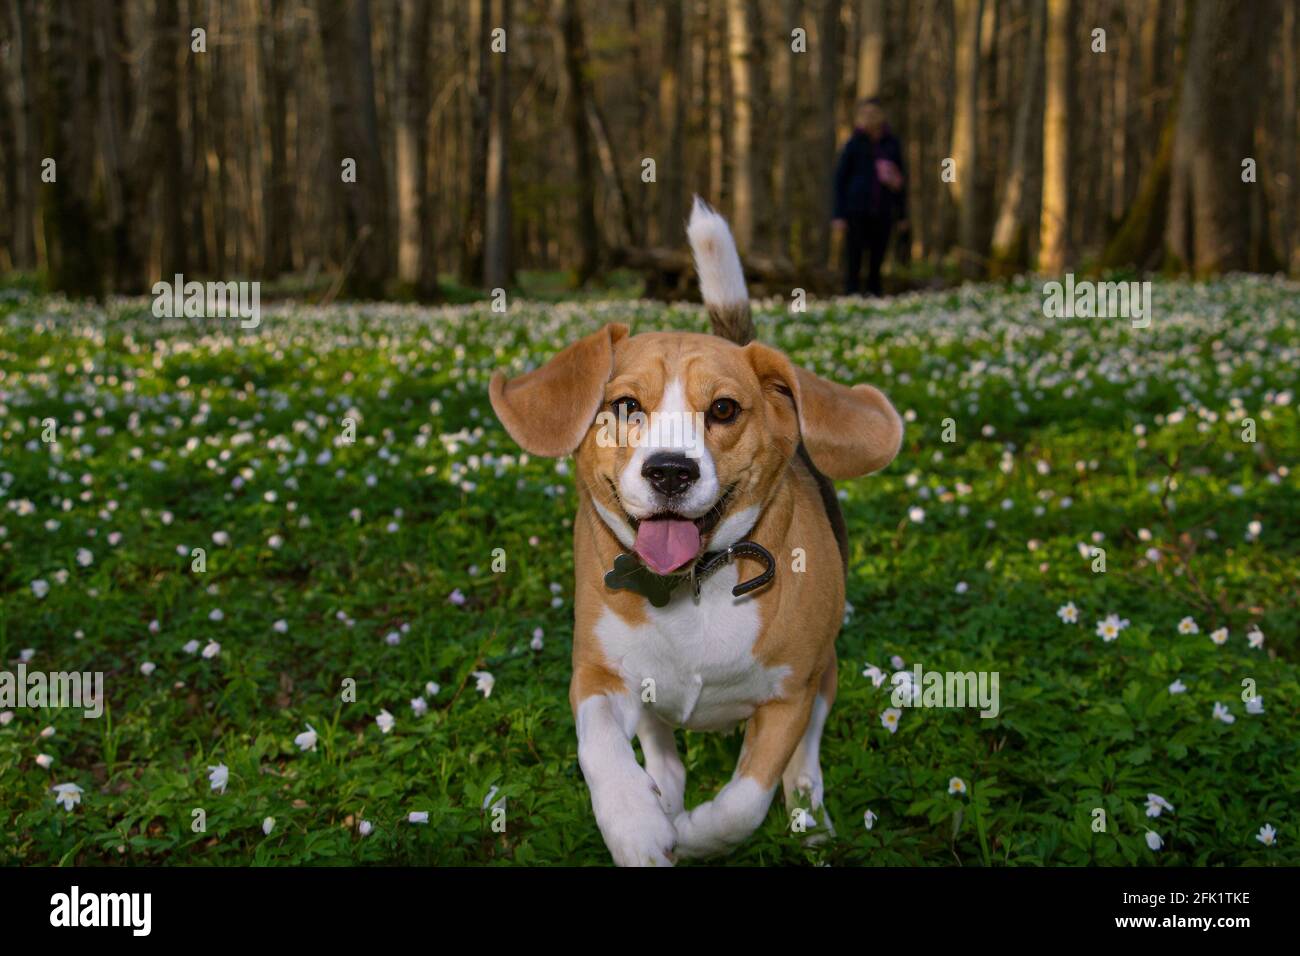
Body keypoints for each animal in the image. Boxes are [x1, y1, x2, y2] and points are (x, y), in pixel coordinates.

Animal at [488, 197, 904, 863]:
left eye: (724, 409)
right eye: (626, 406)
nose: (670, 471)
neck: (694, 584)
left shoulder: (790, 696)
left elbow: (745, 801)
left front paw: (694, 835)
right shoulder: (597, 676)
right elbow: (601, 750)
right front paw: (637, 826)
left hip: (826, 674)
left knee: (804, 764)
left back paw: (809, 819)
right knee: (663, 749)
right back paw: (661, 792)